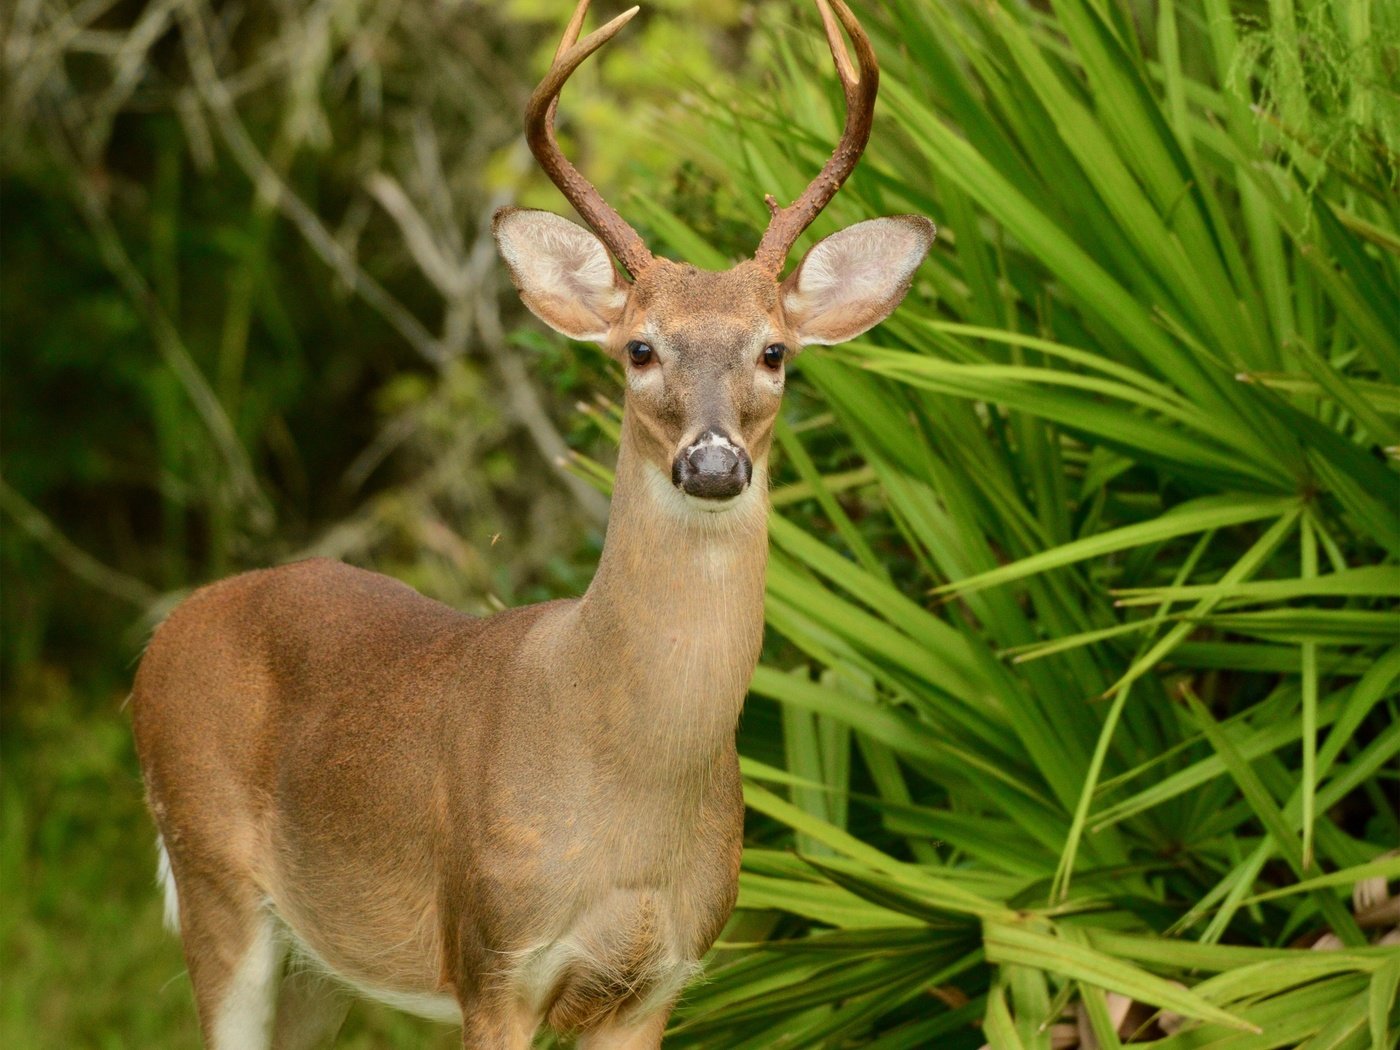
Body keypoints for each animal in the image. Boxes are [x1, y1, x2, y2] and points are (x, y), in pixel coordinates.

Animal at [133, 4, 929, 1047]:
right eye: (640, 349)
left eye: (775, 352)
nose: (713, 462)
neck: (627, 786)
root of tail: (160, 643)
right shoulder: (492, 955)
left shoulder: (662, 974)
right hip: (210, 872)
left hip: (317, 960)